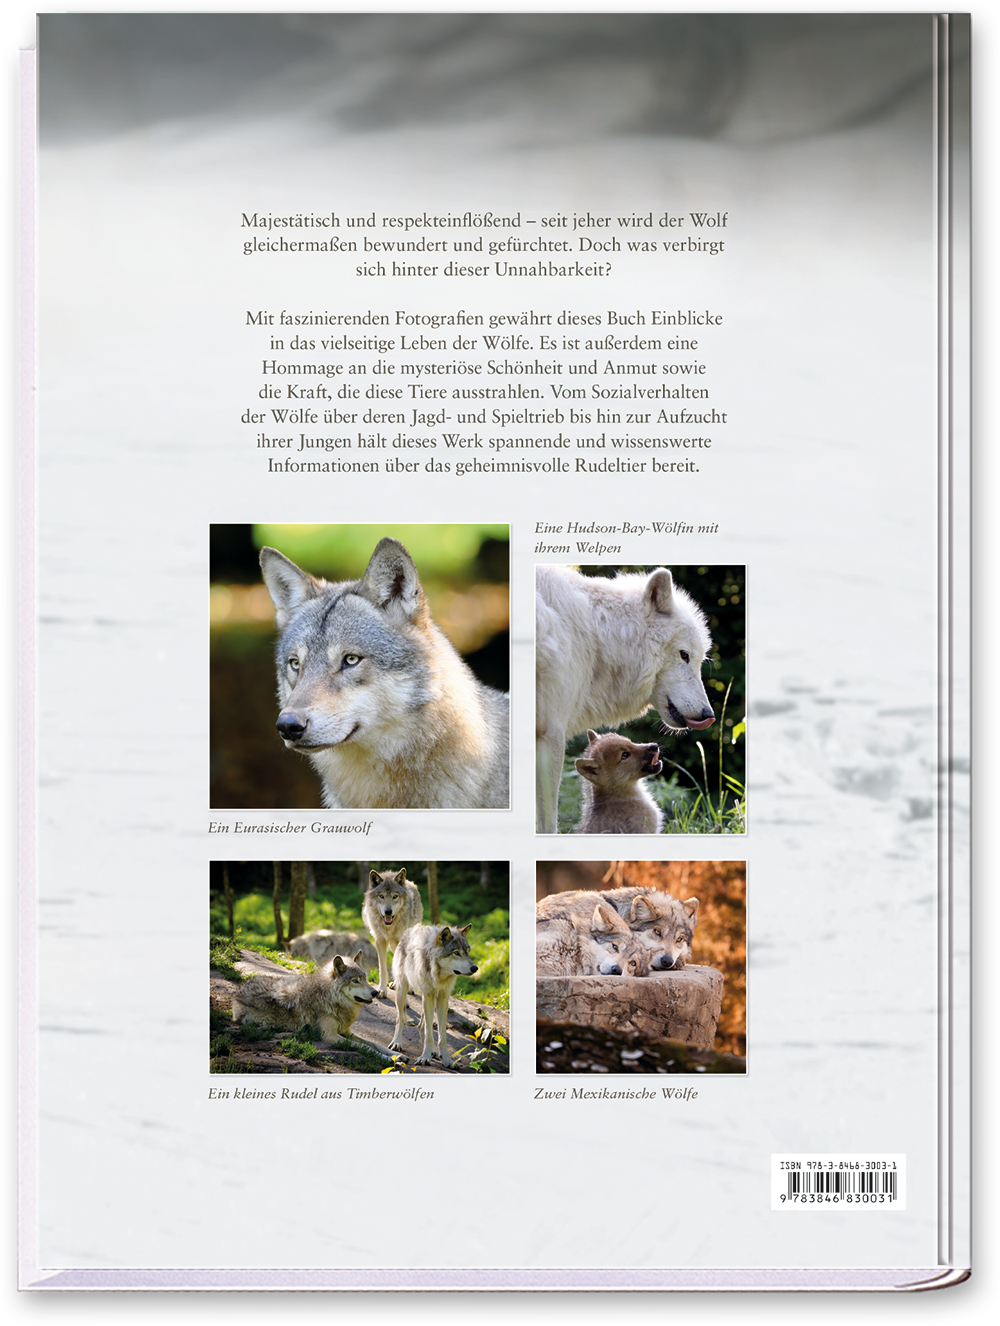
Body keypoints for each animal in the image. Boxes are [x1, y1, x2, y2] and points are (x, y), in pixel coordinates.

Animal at [231, 952, 391, 1054]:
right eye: (355, 981)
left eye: (365, 979)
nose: (375, 993)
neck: (329, 996)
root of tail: (238, 990)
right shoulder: (330, 1036)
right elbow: (366, 1047)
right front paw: (385, 1058)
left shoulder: (346, 1031)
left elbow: (376, 1044)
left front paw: (394, 1055)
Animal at [362, 867, 424, 998]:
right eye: (381, 896)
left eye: (395, 896)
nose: (388, 911)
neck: (389, 927)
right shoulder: (380, 940)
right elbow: (383, 969)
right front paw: (381, 990)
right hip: (392, 945)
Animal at [389, 924, 478, 1066]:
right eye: (456, 953)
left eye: (467, 952)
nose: (475, 968)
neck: (439, 975)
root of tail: (409, 930)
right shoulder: (428, 995)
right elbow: (429, 1035)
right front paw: (425, 1057)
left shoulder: (442, 998)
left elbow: (441, 1036)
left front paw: (446, 1059)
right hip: (403, 992)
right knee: (400, 1019)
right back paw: (397, 1042)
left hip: (428, 1000)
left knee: (421, 1026)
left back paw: (434, 1051)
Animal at [535, 564, 714, 832]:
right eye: (684, 655)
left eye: (699, 659)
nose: (709, 715)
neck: (595, 635)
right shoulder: (551, 734)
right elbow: (548, 821)